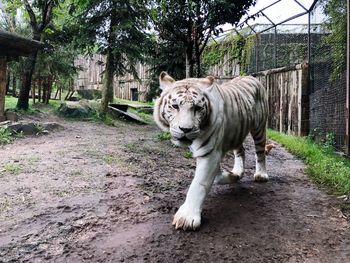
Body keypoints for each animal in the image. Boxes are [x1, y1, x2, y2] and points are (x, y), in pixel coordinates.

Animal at [153, 72, 268, 231]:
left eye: (197, 108)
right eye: (175, 106)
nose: (185, 129)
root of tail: (251, 76)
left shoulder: (210, 153)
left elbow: (198, 184)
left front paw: (187, 217)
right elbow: (216, 175)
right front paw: (228, 176)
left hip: (259, 128)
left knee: (260, 152)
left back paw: (261, 175)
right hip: (237, 132)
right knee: (241, 151)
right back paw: (237, 172)